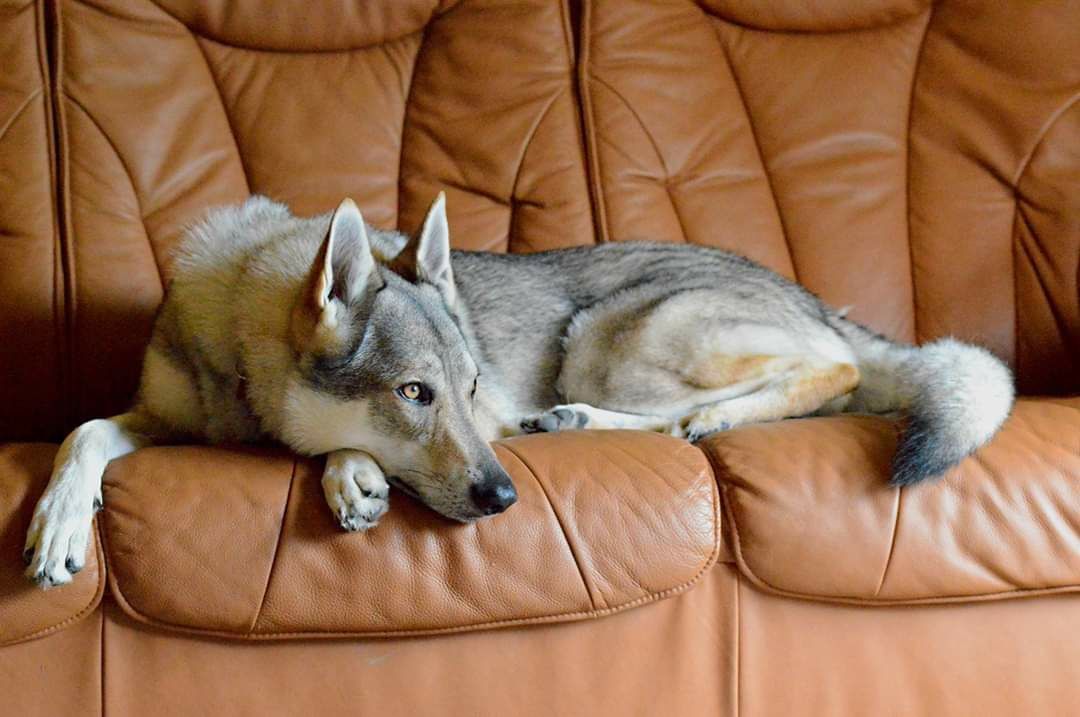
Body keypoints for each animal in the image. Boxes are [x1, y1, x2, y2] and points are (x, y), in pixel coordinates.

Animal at [27, 193, 1019, 587]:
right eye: (414, 392)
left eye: (466, 388)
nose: (506, 498)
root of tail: (810, 294)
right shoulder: (156, 416)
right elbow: (83, 432)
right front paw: (57, 526)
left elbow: (328, 444)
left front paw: (351, 474)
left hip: (611, 337)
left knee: (831, 372)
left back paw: (698, 416)